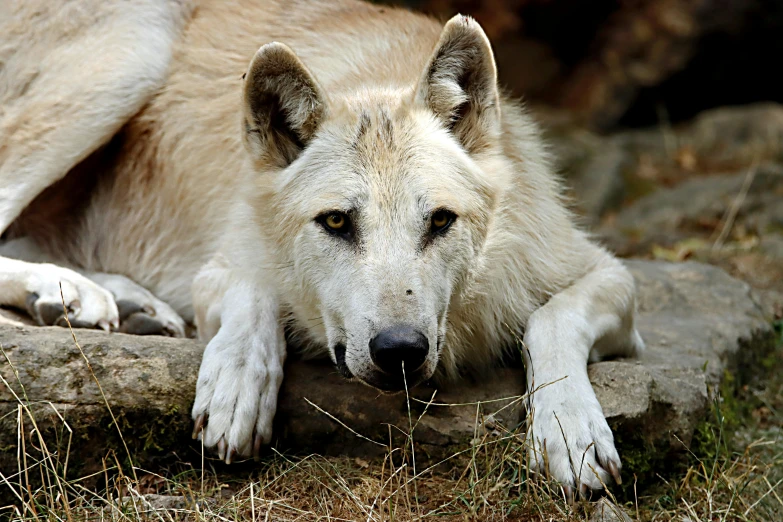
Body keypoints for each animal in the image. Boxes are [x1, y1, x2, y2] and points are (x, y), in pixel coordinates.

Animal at [0, 0, 648, 492]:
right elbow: (254, 295)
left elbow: (552, 319)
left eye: (440, 221)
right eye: (336, 222)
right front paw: (238, 385)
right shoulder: (221, 266)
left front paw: (571, 430)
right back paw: (66, 291)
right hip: (137, 50)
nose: (400, 350)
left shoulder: (605, 275)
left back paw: (120, 304)